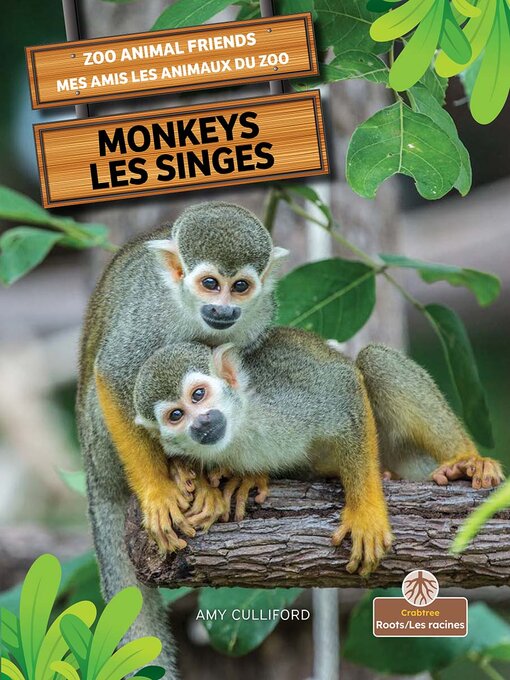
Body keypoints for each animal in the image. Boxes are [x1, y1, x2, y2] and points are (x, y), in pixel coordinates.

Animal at [76, 202, 288, 676]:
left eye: (240, 287)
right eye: (210, 283)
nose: (223, 310)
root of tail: (93, 476)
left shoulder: (258, 314)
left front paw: (240, 474)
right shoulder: (149, 314)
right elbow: (112, 376)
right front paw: (157, 492)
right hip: (99, 444)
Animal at [133, 327, 394, 578]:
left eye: (198, 394)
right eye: (176, 415)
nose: (201, 422)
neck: (242, 425)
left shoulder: (286, 399)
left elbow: (345, 389)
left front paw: (365, 513)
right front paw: (198, 482)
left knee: (375, 359)